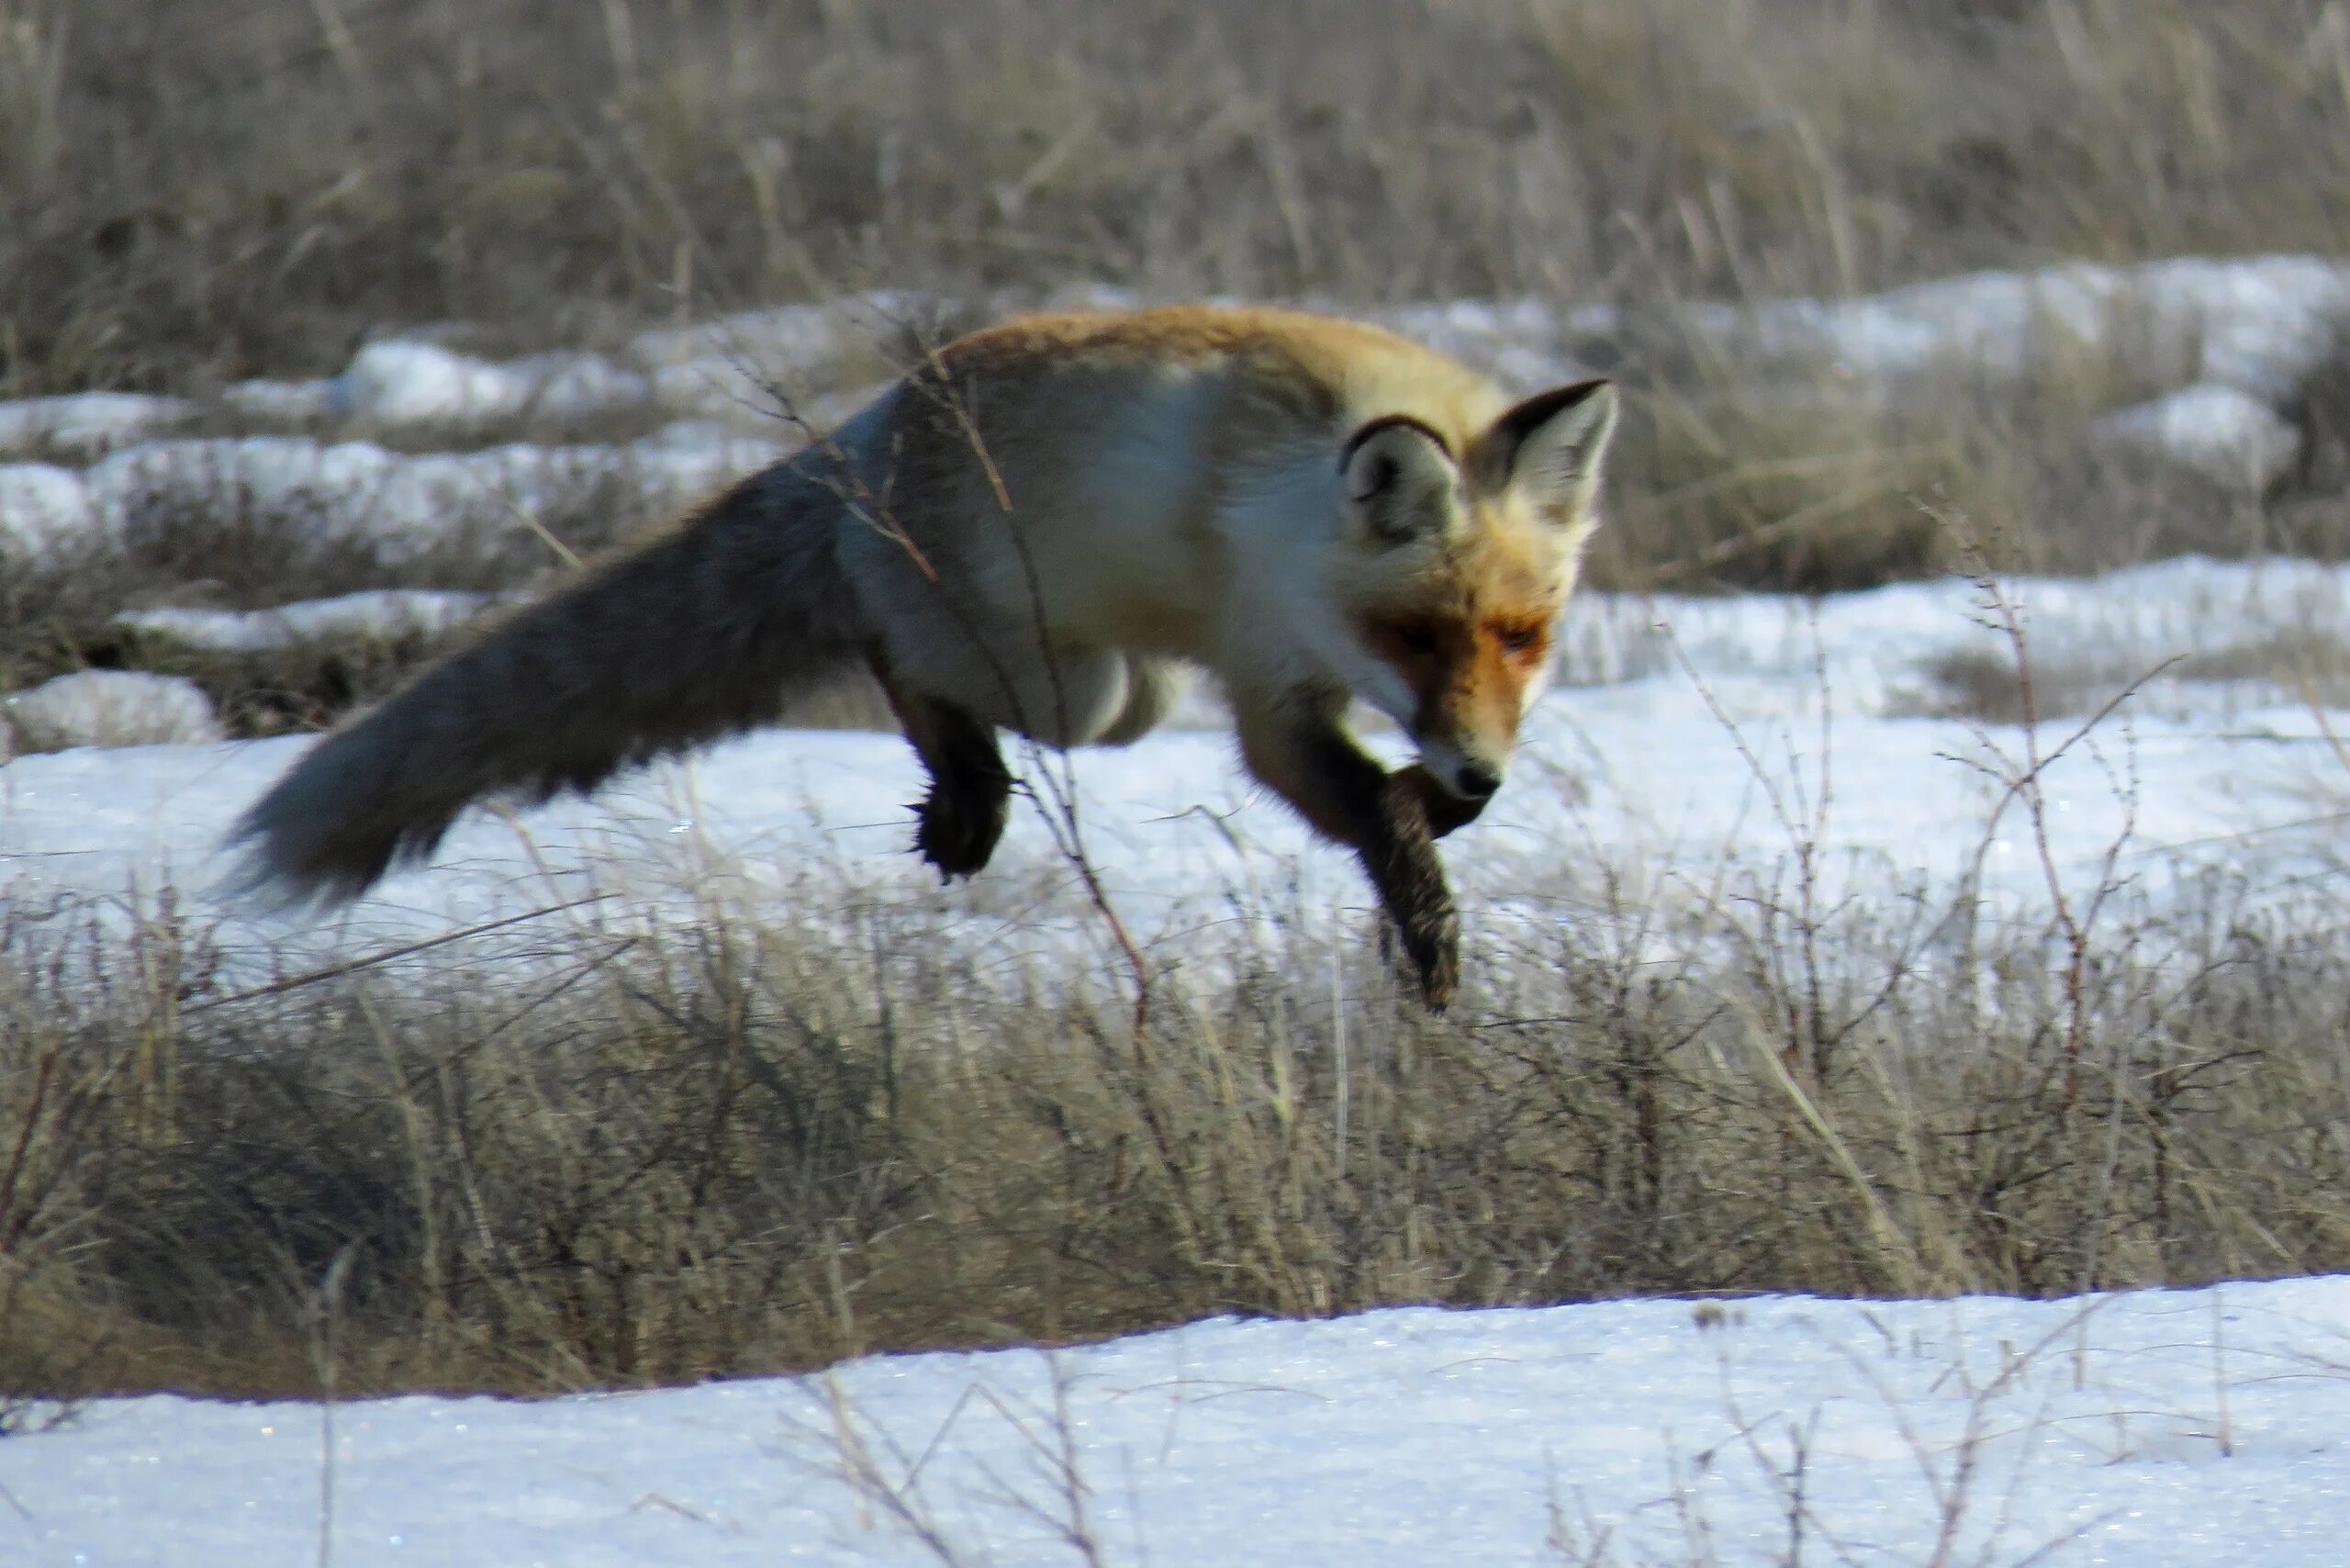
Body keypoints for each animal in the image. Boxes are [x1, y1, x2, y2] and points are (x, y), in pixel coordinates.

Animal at [233, 305, 1617, 1011]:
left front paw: (1438, 816)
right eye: (1415, 635)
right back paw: (961, 794)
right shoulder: (1268, 678)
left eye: (1522, 637)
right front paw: (1427, 928)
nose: (1484, 771)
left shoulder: (1308, 682)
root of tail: (869, 424)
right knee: (897, 655)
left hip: (1129, 688)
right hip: (1082, 685)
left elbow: (1394, 804)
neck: (1291, 506)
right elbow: (1372, 816)